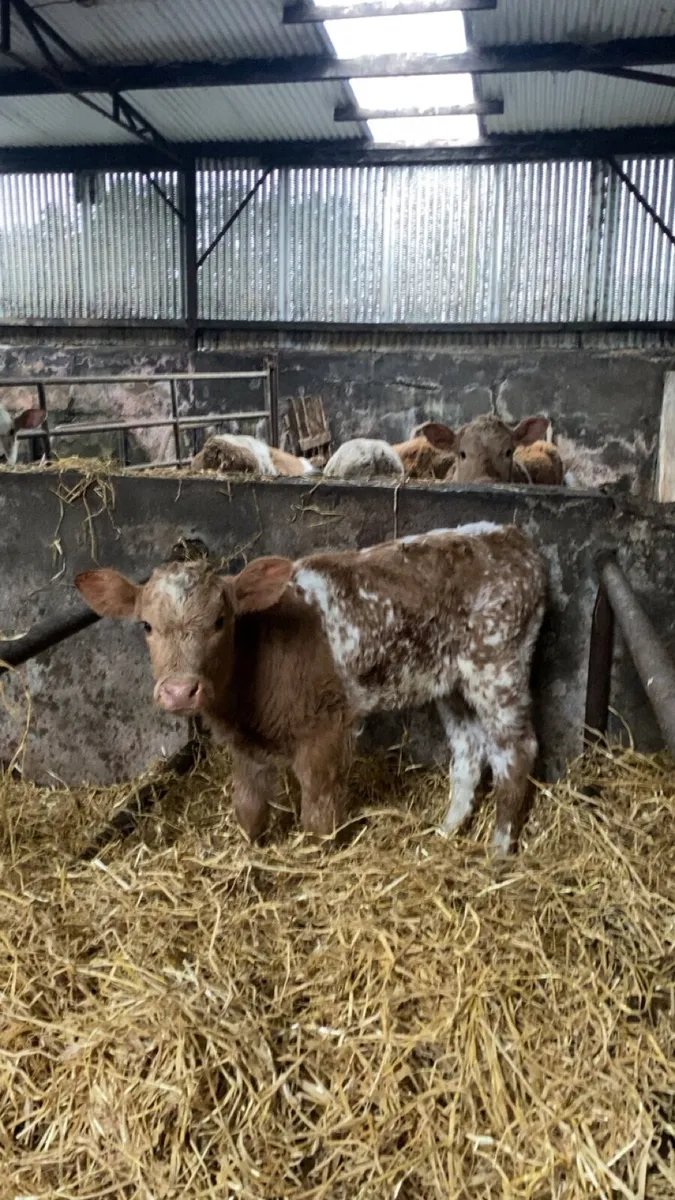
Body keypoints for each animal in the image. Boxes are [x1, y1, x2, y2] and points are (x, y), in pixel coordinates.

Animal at [75, 523, 546, 855]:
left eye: (220, 621)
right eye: (146, 625)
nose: (179, 691)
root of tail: (512, 537)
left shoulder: (325, 729)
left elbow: (318, 813)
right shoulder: (246, 746)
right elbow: (248, 806)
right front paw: (250, 852)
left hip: (498, 666)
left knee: (515, 751)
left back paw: (499, 848)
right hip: (451, 680)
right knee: (470, 749)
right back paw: (447, 832)